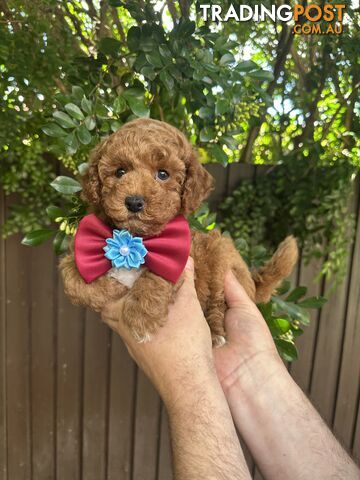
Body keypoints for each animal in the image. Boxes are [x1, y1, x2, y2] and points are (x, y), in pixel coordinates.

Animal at [61, 117, 298, 344]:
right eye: (120, 172)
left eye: (163, 174)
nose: (134, 202)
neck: (136, 237)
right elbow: (71, 279)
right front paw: (109, 289)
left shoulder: (181, 256)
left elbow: (158, 276)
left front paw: (141, 318)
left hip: (221, 256)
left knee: (218, 302)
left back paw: (215, 333)